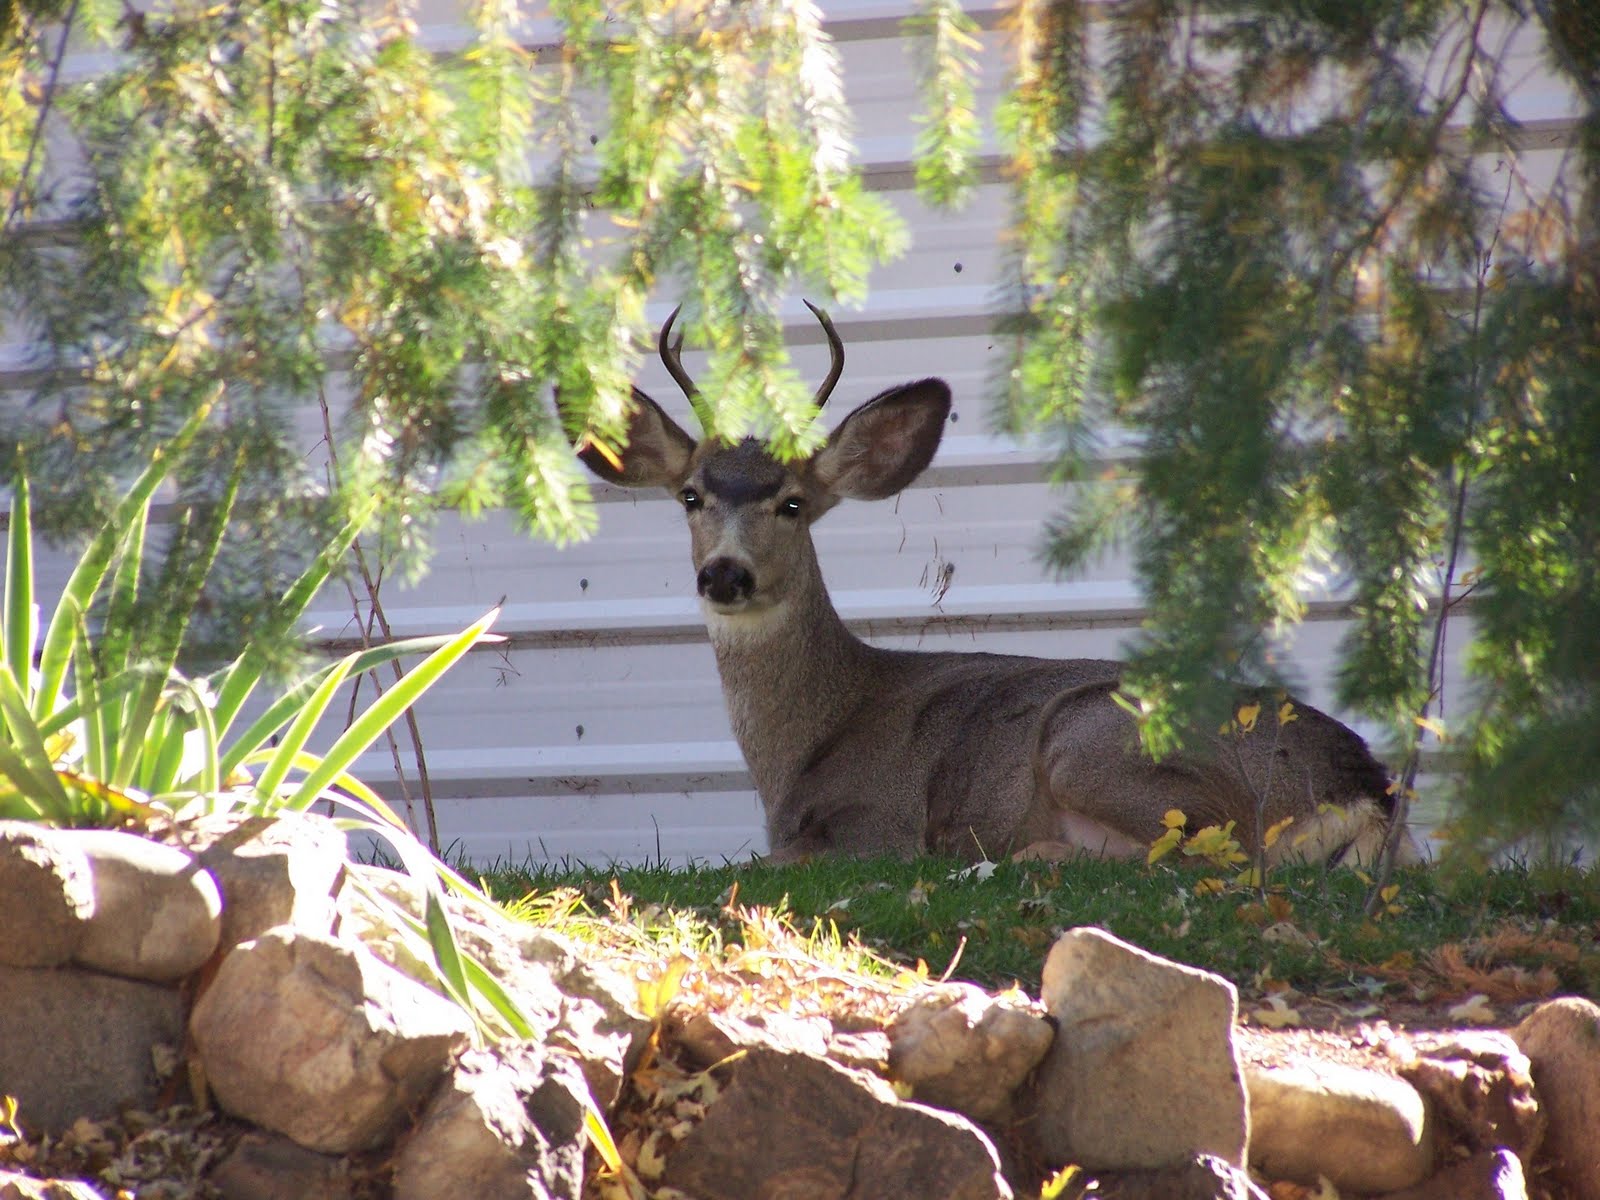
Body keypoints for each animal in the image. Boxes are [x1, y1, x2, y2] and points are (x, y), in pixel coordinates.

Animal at [577, 304, 1419, 867]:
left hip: (1099, 742)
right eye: (691, 496)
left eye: (792, 503)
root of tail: (1364, 787)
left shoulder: (877, 824)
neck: (806, 741)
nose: (725, 571)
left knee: (1205, 856)